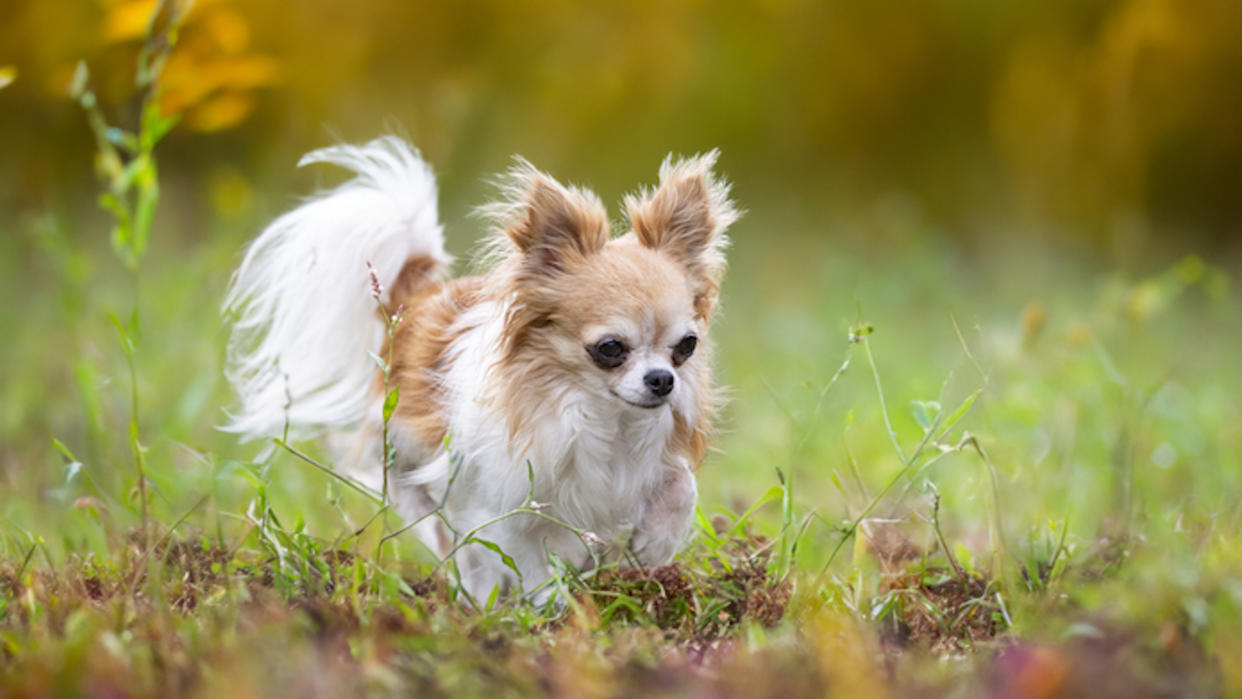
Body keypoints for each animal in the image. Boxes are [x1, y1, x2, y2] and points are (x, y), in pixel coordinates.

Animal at [223, 136, 735, 600]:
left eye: (686, 347)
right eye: (610, 348)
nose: (662, 381)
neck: (599, 414)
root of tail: (415, 298)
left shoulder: (646, 465)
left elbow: (682, 484)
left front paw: (655, 544)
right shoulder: (498, 504)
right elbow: (525, 562)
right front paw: (549, 614)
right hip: (407, 462)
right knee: (446, 534)